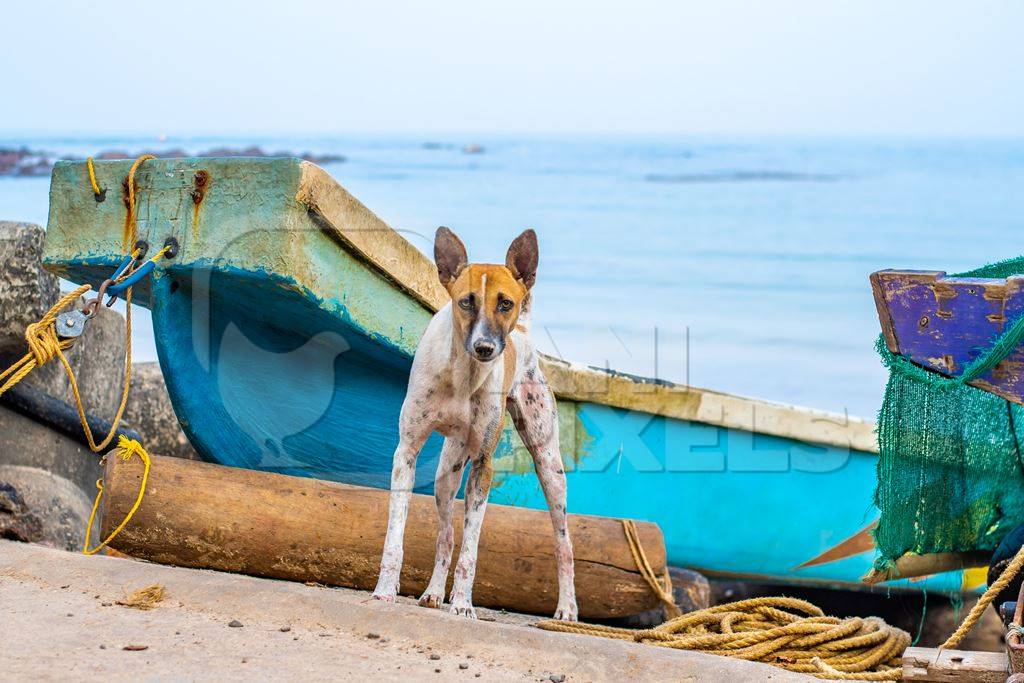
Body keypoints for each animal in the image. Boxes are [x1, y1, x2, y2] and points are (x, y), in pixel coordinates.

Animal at [370, 227, 581, 622]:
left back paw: (566, 608)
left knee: (564, 544)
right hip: (446, 472)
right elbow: (397, 533)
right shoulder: (406, 452)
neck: (463, 375)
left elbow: (472, 546)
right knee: (446, 535)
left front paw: (464, 604)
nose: (485, 347)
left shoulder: (484, 464)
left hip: (549, 466)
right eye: (466, 301)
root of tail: (523, 331)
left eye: (505, 303)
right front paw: (385, 591)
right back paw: (433, 593)